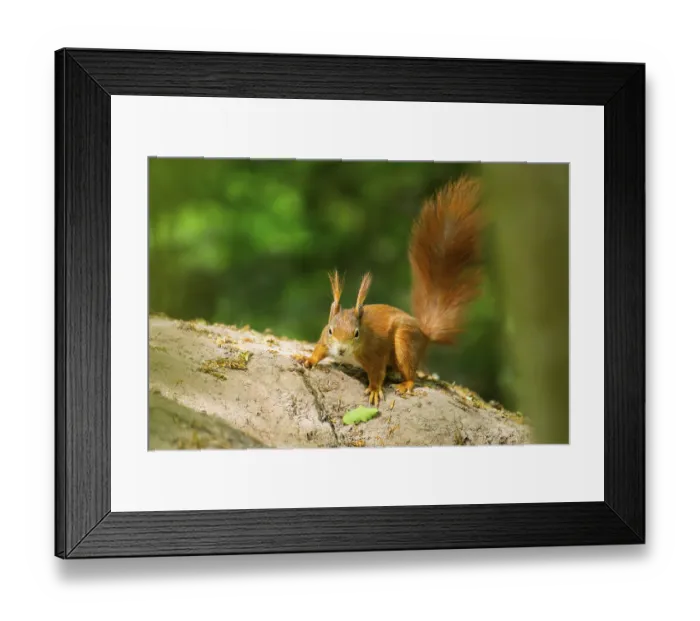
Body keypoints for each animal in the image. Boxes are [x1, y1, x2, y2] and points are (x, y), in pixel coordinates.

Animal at [295, 174, 483, 407]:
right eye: (331, 330)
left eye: (356, 333)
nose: (340, 350)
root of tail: (424, 334)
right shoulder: (324, 340)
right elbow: (319, 350)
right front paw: (307, 359)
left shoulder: (374, 354)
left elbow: (377, 373)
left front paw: (375, 390)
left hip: (404, 342)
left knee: (410, 371)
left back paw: (405, 383)